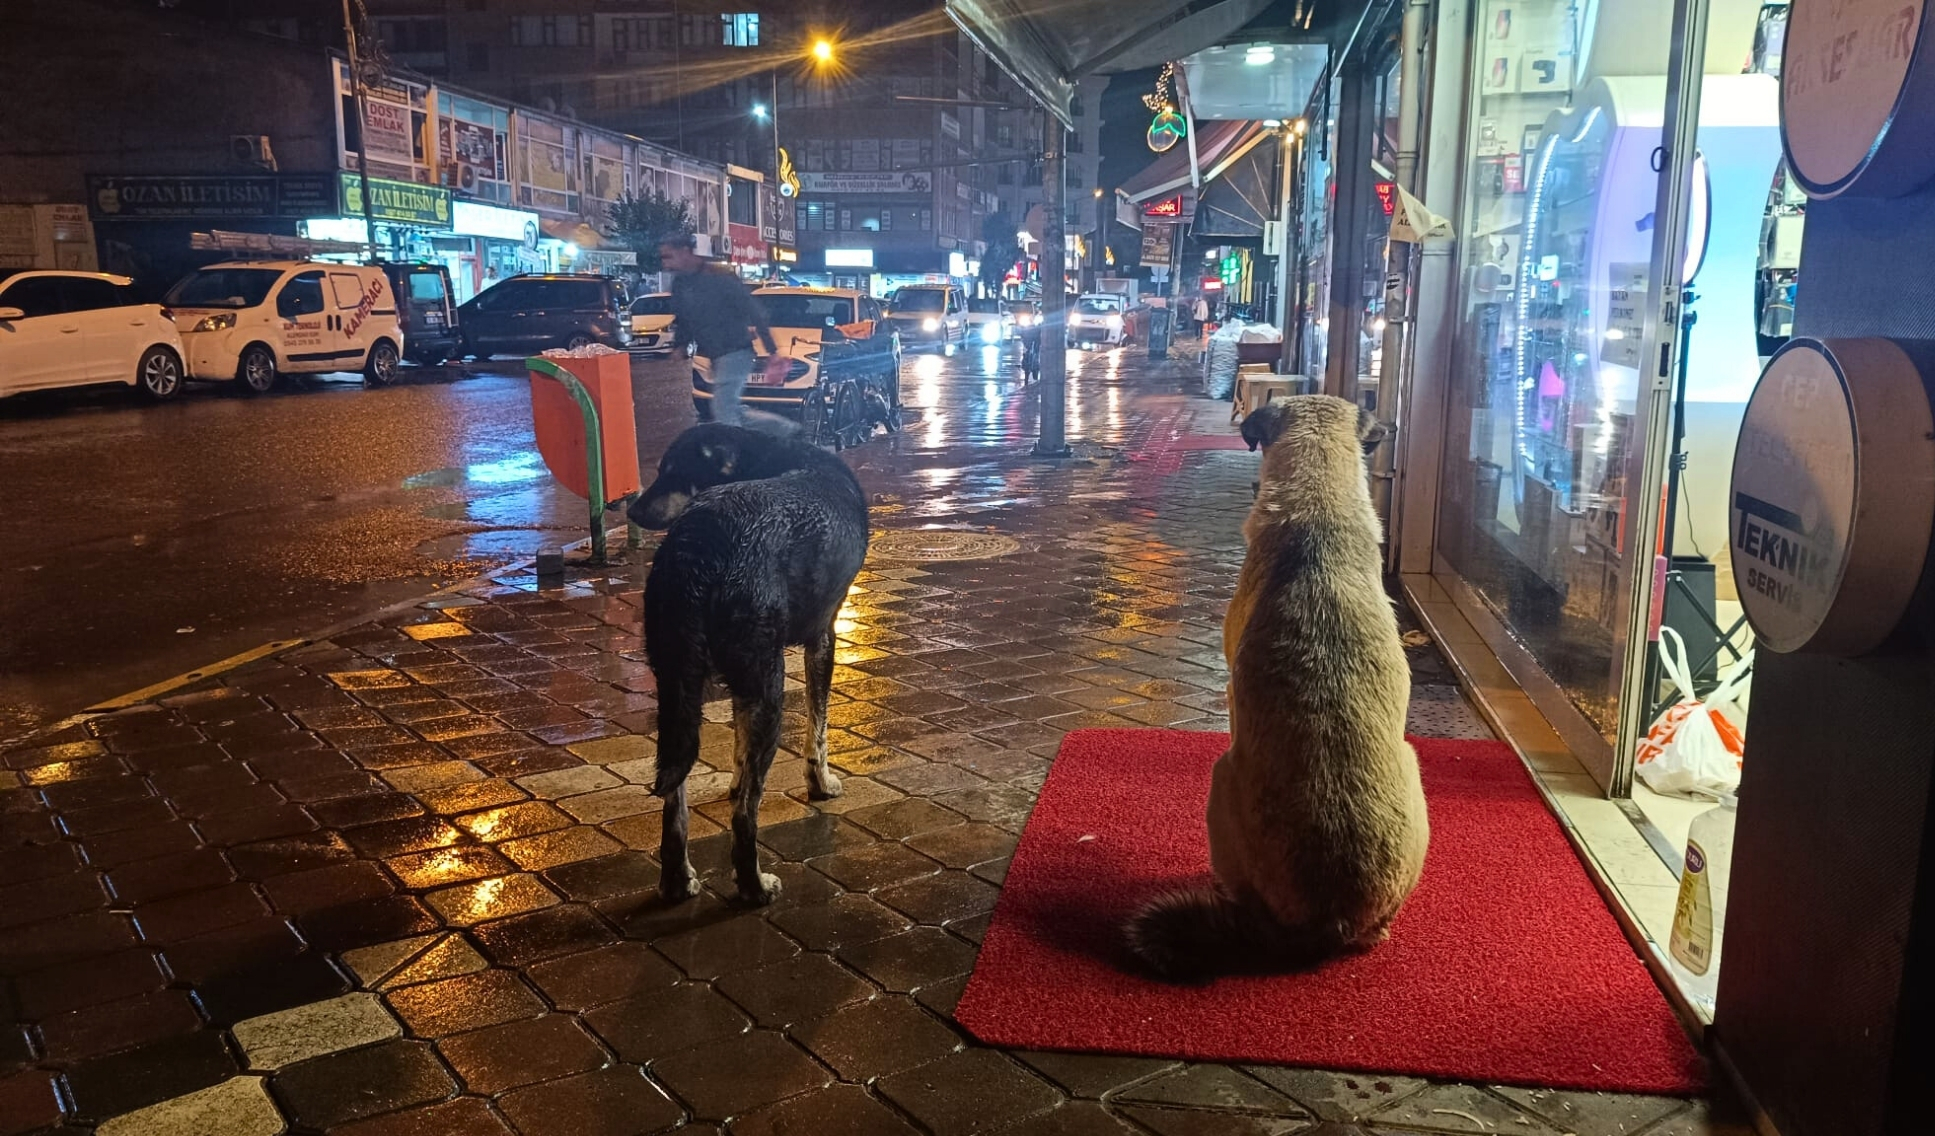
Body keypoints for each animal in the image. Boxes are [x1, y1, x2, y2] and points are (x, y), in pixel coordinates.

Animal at [623, 425, 866, 905]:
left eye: (674, 472)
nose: (632, 509)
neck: (772, 455)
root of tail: (699, 543)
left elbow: (738, 748)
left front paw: (734, 780)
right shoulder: (823, 636)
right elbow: (818, 732)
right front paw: (822, 785)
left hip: (676, 687)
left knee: (675, 797)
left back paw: (677, 881)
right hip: (769, 687)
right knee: (744, 818)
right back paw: (754, 885)